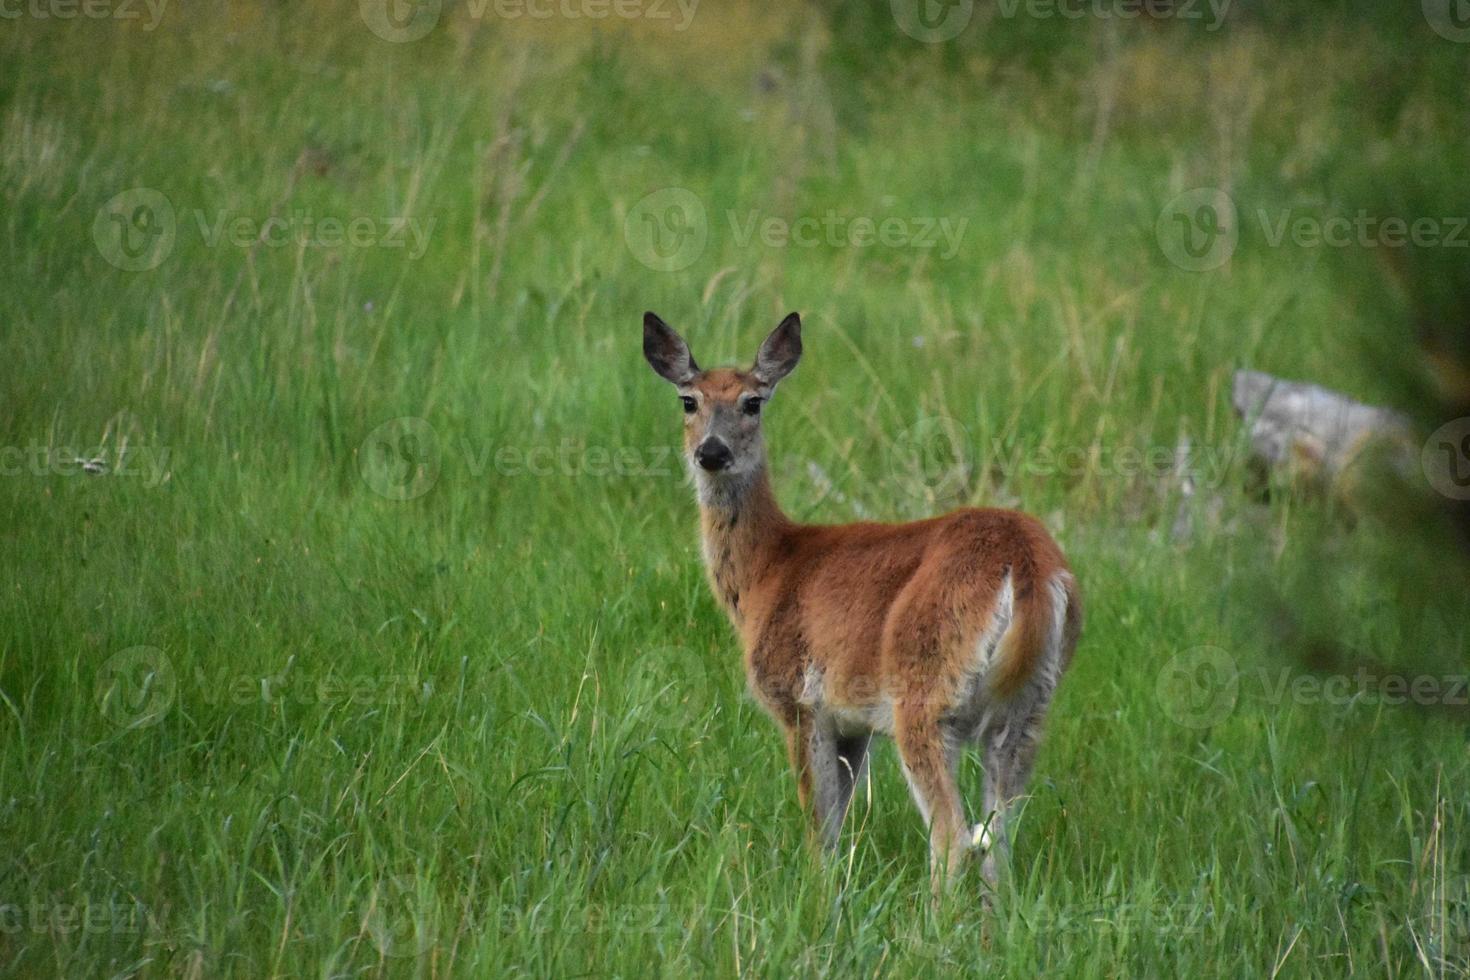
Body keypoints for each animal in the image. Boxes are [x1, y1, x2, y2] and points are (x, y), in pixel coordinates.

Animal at [643, 310, 1081, 893]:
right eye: (688, 401)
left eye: (753, 402)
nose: (711, 452)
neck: (768, 572)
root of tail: (1027, 562)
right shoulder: (851, 724)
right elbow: (839, 826)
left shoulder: (797, 699)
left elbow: (819, 829)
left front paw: (815, 897)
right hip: (1028, 710)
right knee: (998, 844)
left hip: (924, 691)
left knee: (953, 838)